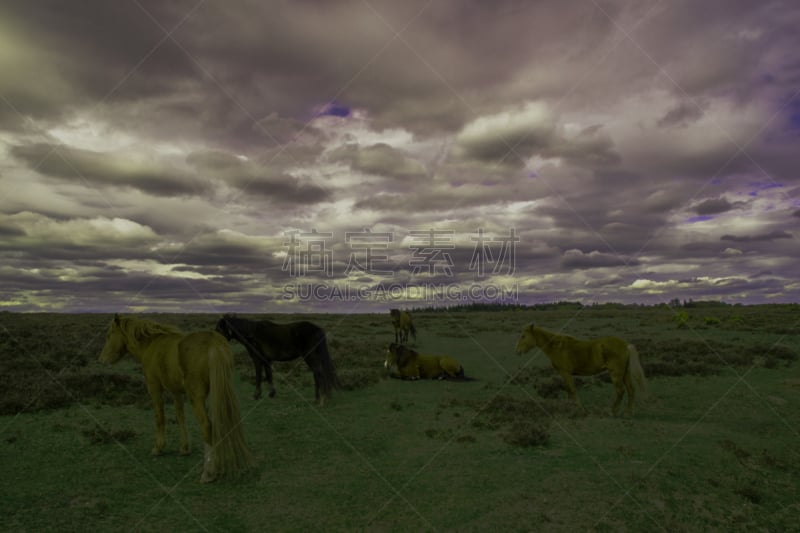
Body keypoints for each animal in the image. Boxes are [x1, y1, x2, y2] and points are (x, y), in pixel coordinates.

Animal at [98, 312, 252, 482]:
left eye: (109, 335)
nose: (102, 360)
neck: (150, 345)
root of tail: (215, 343)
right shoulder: (176, 391)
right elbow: (180, 417)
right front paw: (184, 448)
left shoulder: (154, 388)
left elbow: (160, 418)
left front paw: (158, 448)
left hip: (196, 397)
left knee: (206, 426)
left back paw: (208, 472)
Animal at [516, 322, 648, 418]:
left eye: (523, 336)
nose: (517, 351)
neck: (557, 347)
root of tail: (626, 345)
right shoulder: (565, 374)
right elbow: (569, 391)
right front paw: (570, 409)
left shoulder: (566, 373)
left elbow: (572, 390)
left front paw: (580, 410)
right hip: (625, 373)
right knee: (631, 390)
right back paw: (627, 413)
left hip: (616, 373)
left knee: (620, 391)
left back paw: (612, 411)